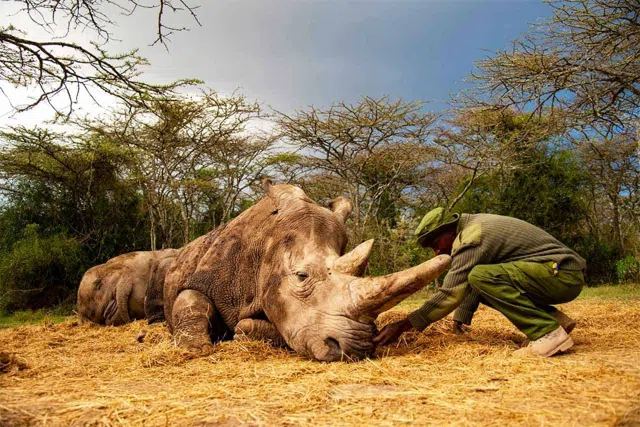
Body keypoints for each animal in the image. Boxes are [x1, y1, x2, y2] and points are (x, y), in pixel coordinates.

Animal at [159, 180, 451, 362]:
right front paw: (194, 348)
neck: (265, 243)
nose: (355, 349)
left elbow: (262, 327)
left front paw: (243, 330)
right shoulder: (207, 277)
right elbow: (191, 299)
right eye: (301, 276)